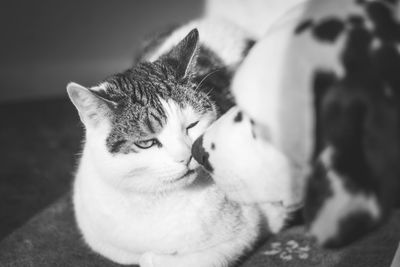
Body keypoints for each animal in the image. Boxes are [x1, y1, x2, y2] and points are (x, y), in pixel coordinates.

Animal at [67, 17, 290, 266]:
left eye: (191, 125)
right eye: (146, 143)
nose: (187, 156)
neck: (157, 201)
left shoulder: (245, 230)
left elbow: (176, 258)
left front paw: (155, 257)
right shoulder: (100, 238)